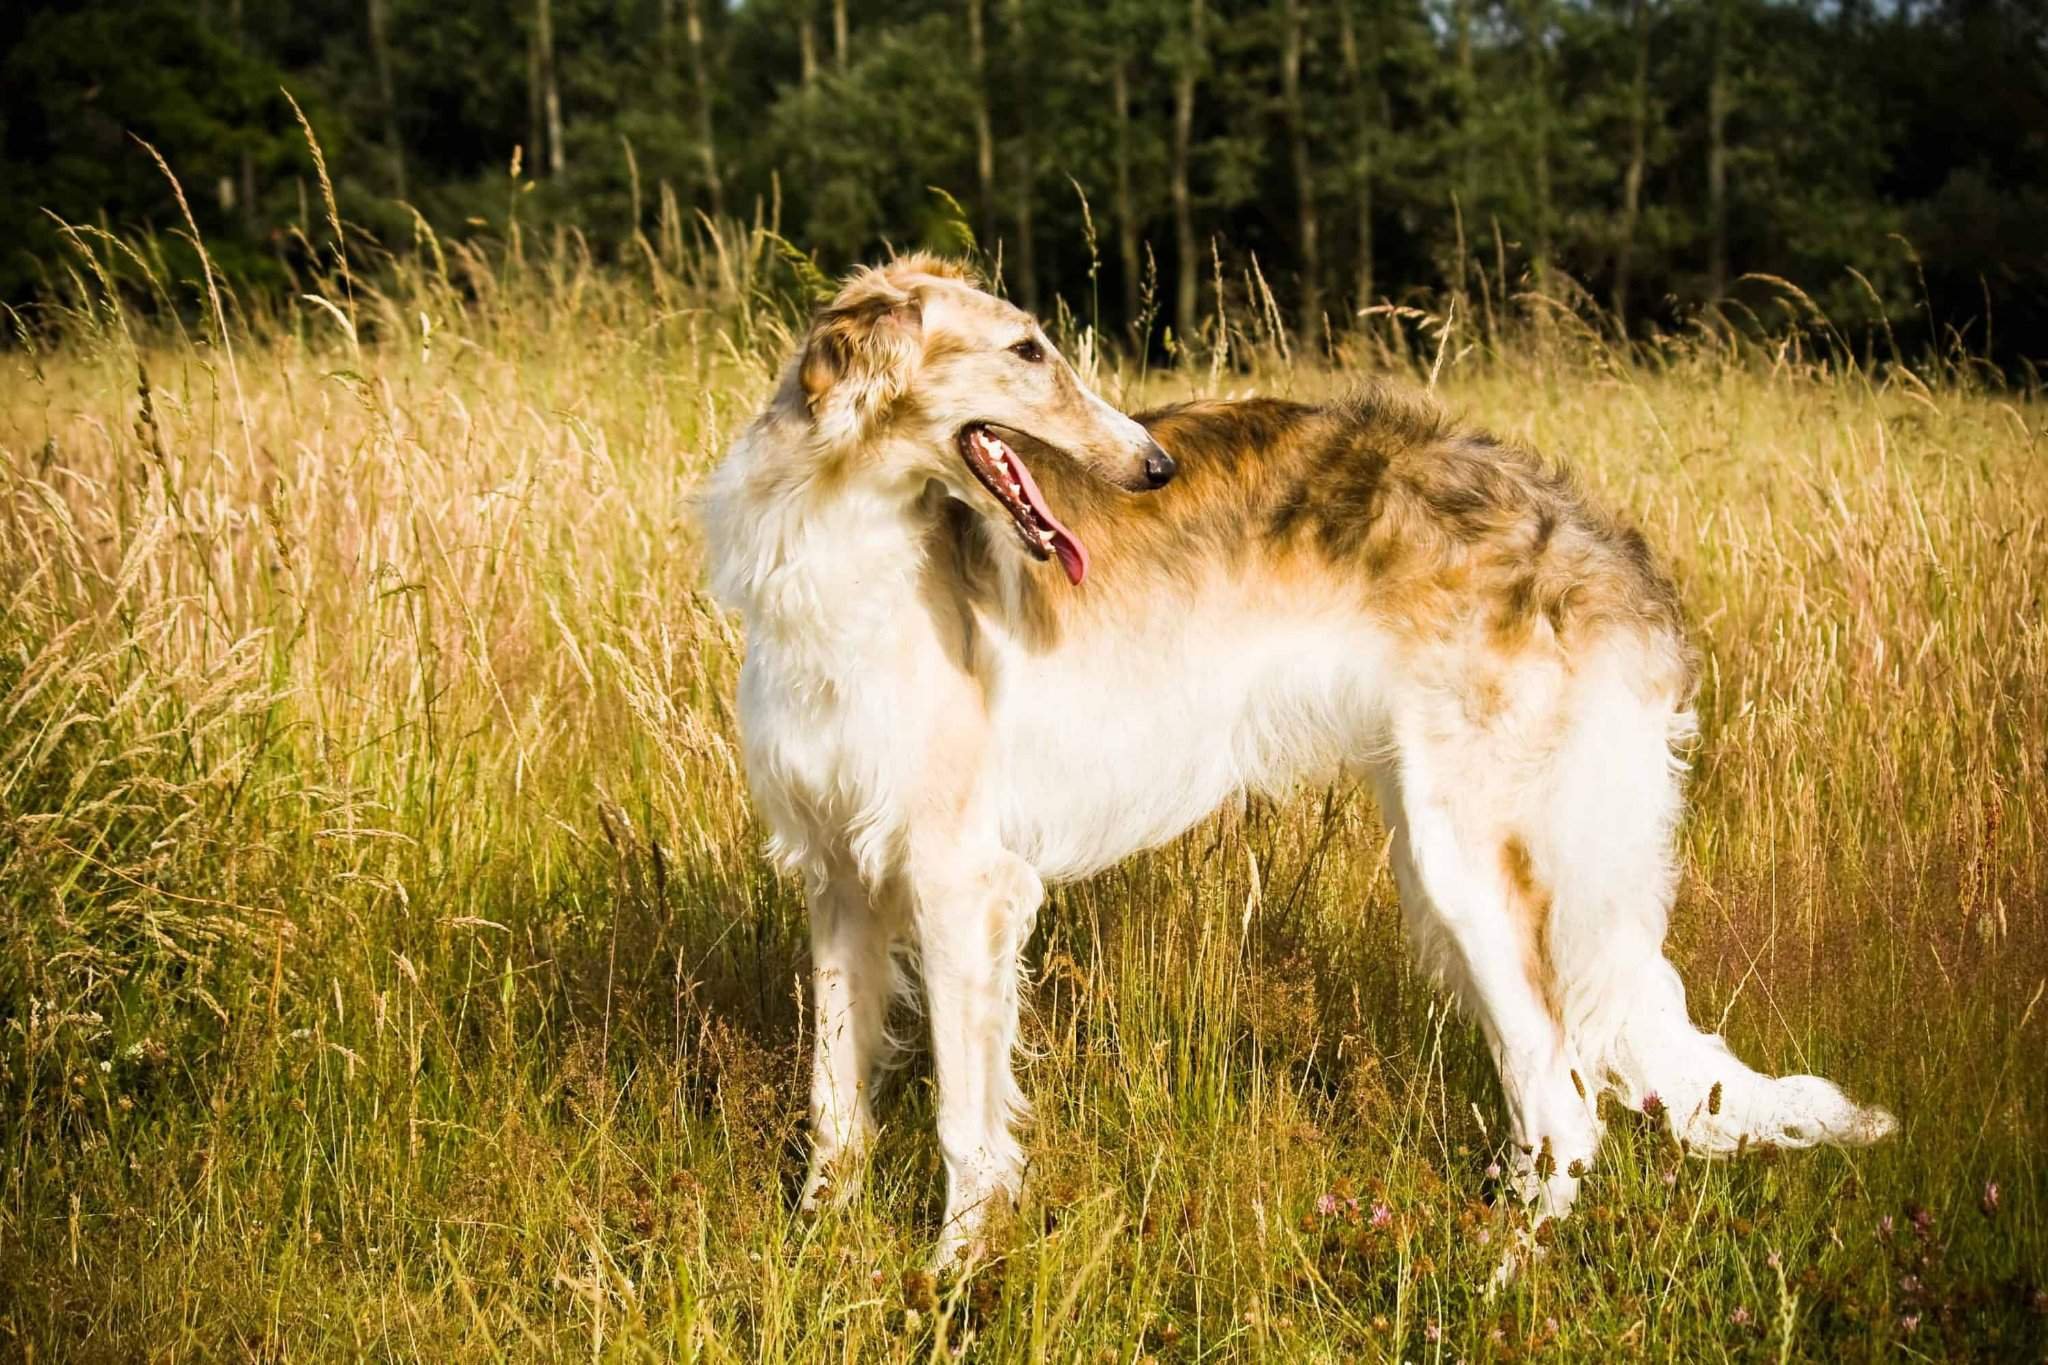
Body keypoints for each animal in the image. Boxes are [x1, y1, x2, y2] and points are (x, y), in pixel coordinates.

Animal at [700, 253, 1884, 1260]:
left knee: (1566, 1106)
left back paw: (1489, 1282)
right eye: (1027, 350)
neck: (841, 547)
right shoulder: (836, 876)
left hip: (1473, 864)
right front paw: (815, 1246)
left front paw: (951, 1274)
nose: (1153, 465)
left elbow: (963, 1122)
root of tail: (1601, 544)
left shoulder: (962, 880)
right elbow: (834, 1101)